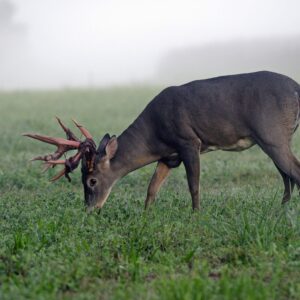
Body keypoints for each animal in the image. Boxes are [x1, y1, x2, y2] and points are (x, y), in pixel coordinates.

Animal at [24, 70, 300, 211]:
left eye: (91, 180)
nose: (90, 209)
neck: (154, 135)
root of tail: (296, 88)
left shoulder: (188, 141)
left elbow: (194, 185)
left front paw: (195, 215)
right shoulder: (169, 156)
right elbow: (152, 188)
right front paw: (145, 215)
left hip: (273, 135)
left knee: (294, 171)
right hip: (271, 140)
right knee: (287, 174)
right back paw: (281, 208)